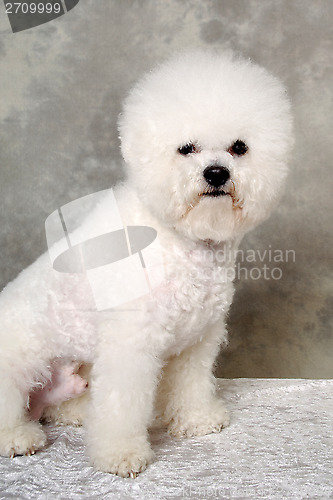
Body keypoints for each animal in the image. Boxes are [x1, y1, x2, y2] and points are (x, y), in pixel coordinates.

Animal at [0, 49, 290, 476]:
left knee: (63, 407)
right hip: (19, 366)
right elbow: (122, 405)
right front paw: (120, 454)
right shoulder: (130, 345)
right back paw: (19, 437)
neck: (180, 240)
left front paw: (197, 420)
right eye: (186, 148)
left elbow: (191, 385)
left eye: (239, 147)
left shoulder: (197, 342)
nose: (216, 173)